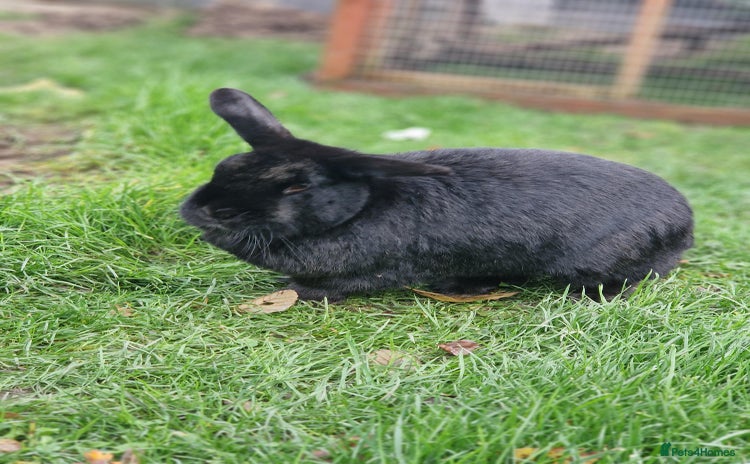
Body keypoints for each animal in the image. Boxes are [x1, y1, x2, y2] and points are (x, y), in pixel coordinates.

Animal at [180, 88, 694, 301]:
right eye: (224, 167)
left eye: (296, 186)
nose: (202, 210)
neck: (357, 210)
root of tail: (685, 220)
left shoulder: (372, 270)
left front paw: (295, 291)